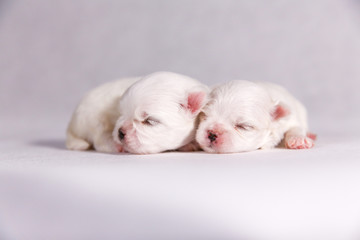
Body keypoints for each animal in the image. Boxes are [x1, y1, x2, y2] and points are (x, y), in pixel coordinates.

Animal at [66, 71, 210, 154]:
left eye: (150, 121)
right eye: (121, 113)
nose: (120, 132)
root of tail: (72, 124)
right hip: (91, 118)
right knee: (99, 139)